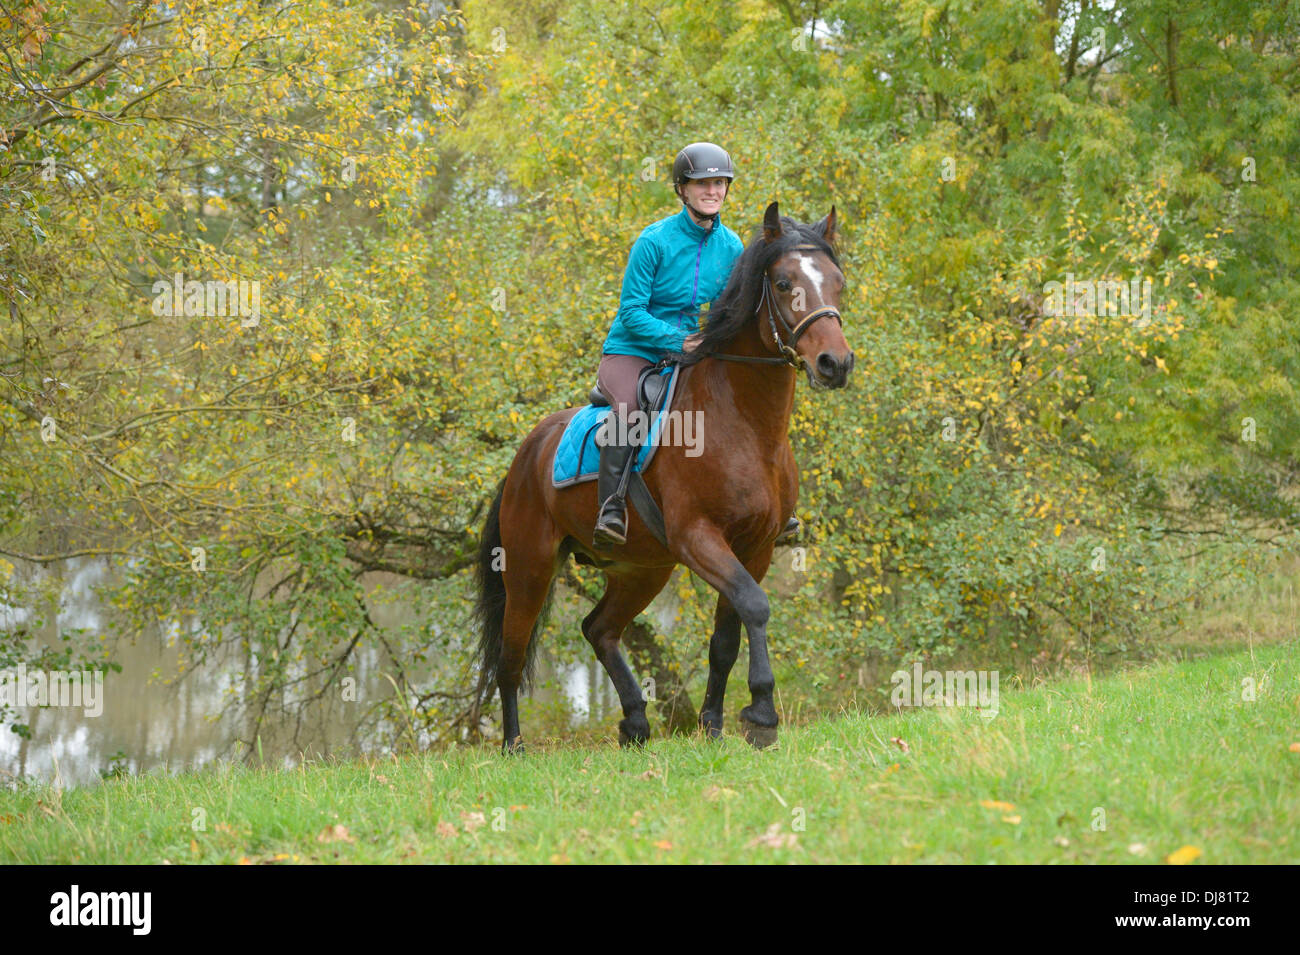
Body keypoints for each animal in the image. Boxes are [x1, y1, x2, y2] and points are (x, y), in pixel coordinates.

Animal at [472, 201, 854, 752]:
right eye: (784, 283)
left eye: (838, 282)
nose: (835, 363)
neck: (744, 424)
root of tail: (528, 450)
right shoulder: (698, 537)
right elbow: (756, 606)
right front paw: (761, 714)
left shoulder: (755, 546)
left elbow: (725, 638)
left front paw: (713, 724)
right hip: (530, 567)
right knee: (512, 655)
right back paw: (513, 746)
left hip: (642, 570)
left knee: (598, 629)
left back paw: (635, 720)